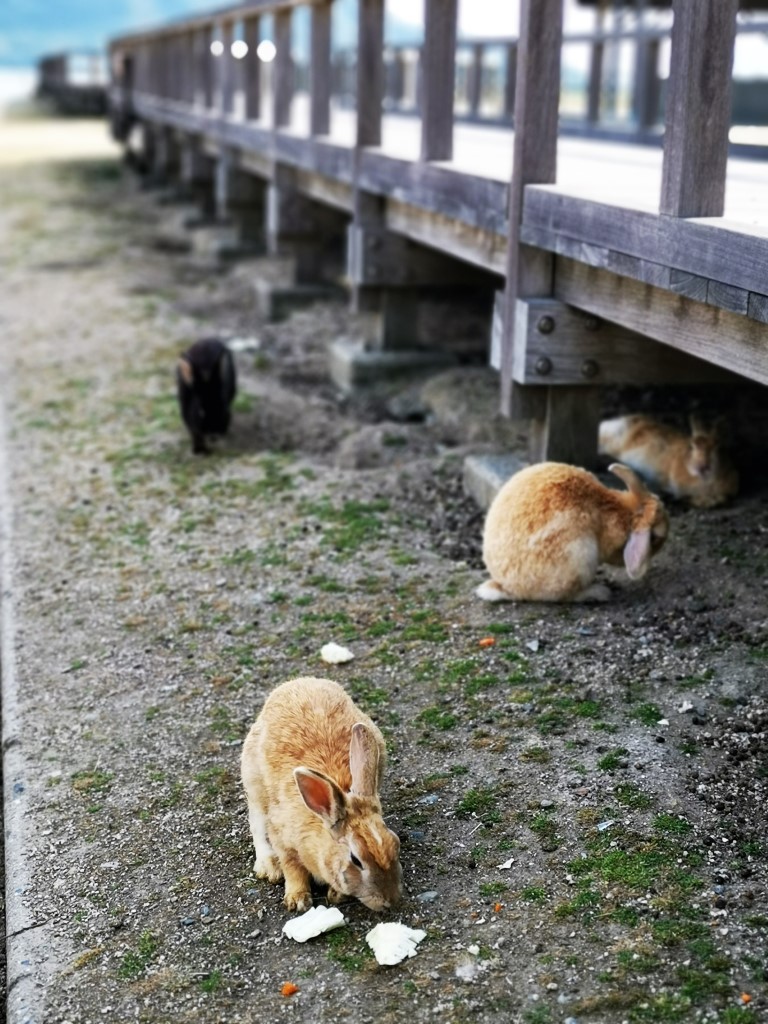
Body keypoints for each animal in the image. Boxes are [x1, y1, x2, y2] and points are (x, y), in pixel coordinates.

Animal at [243, 679, 405, 913]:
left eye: (395, 842)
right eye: (356, 860)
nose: (390, 901)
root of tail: (298, 681)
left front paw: (336, 894)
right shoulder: (283, 839)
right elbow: (292, 868)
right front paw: (298, 899)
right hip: (252, 779)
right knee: (256, 822)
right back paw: (269, 866)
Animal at [479, 462, 671, 602]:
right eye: (655, 537)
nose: (663, 544)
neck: (625, 513)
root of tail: (508, 586)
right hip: (579, 555)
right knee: (565, 596)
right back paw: (598, 592)